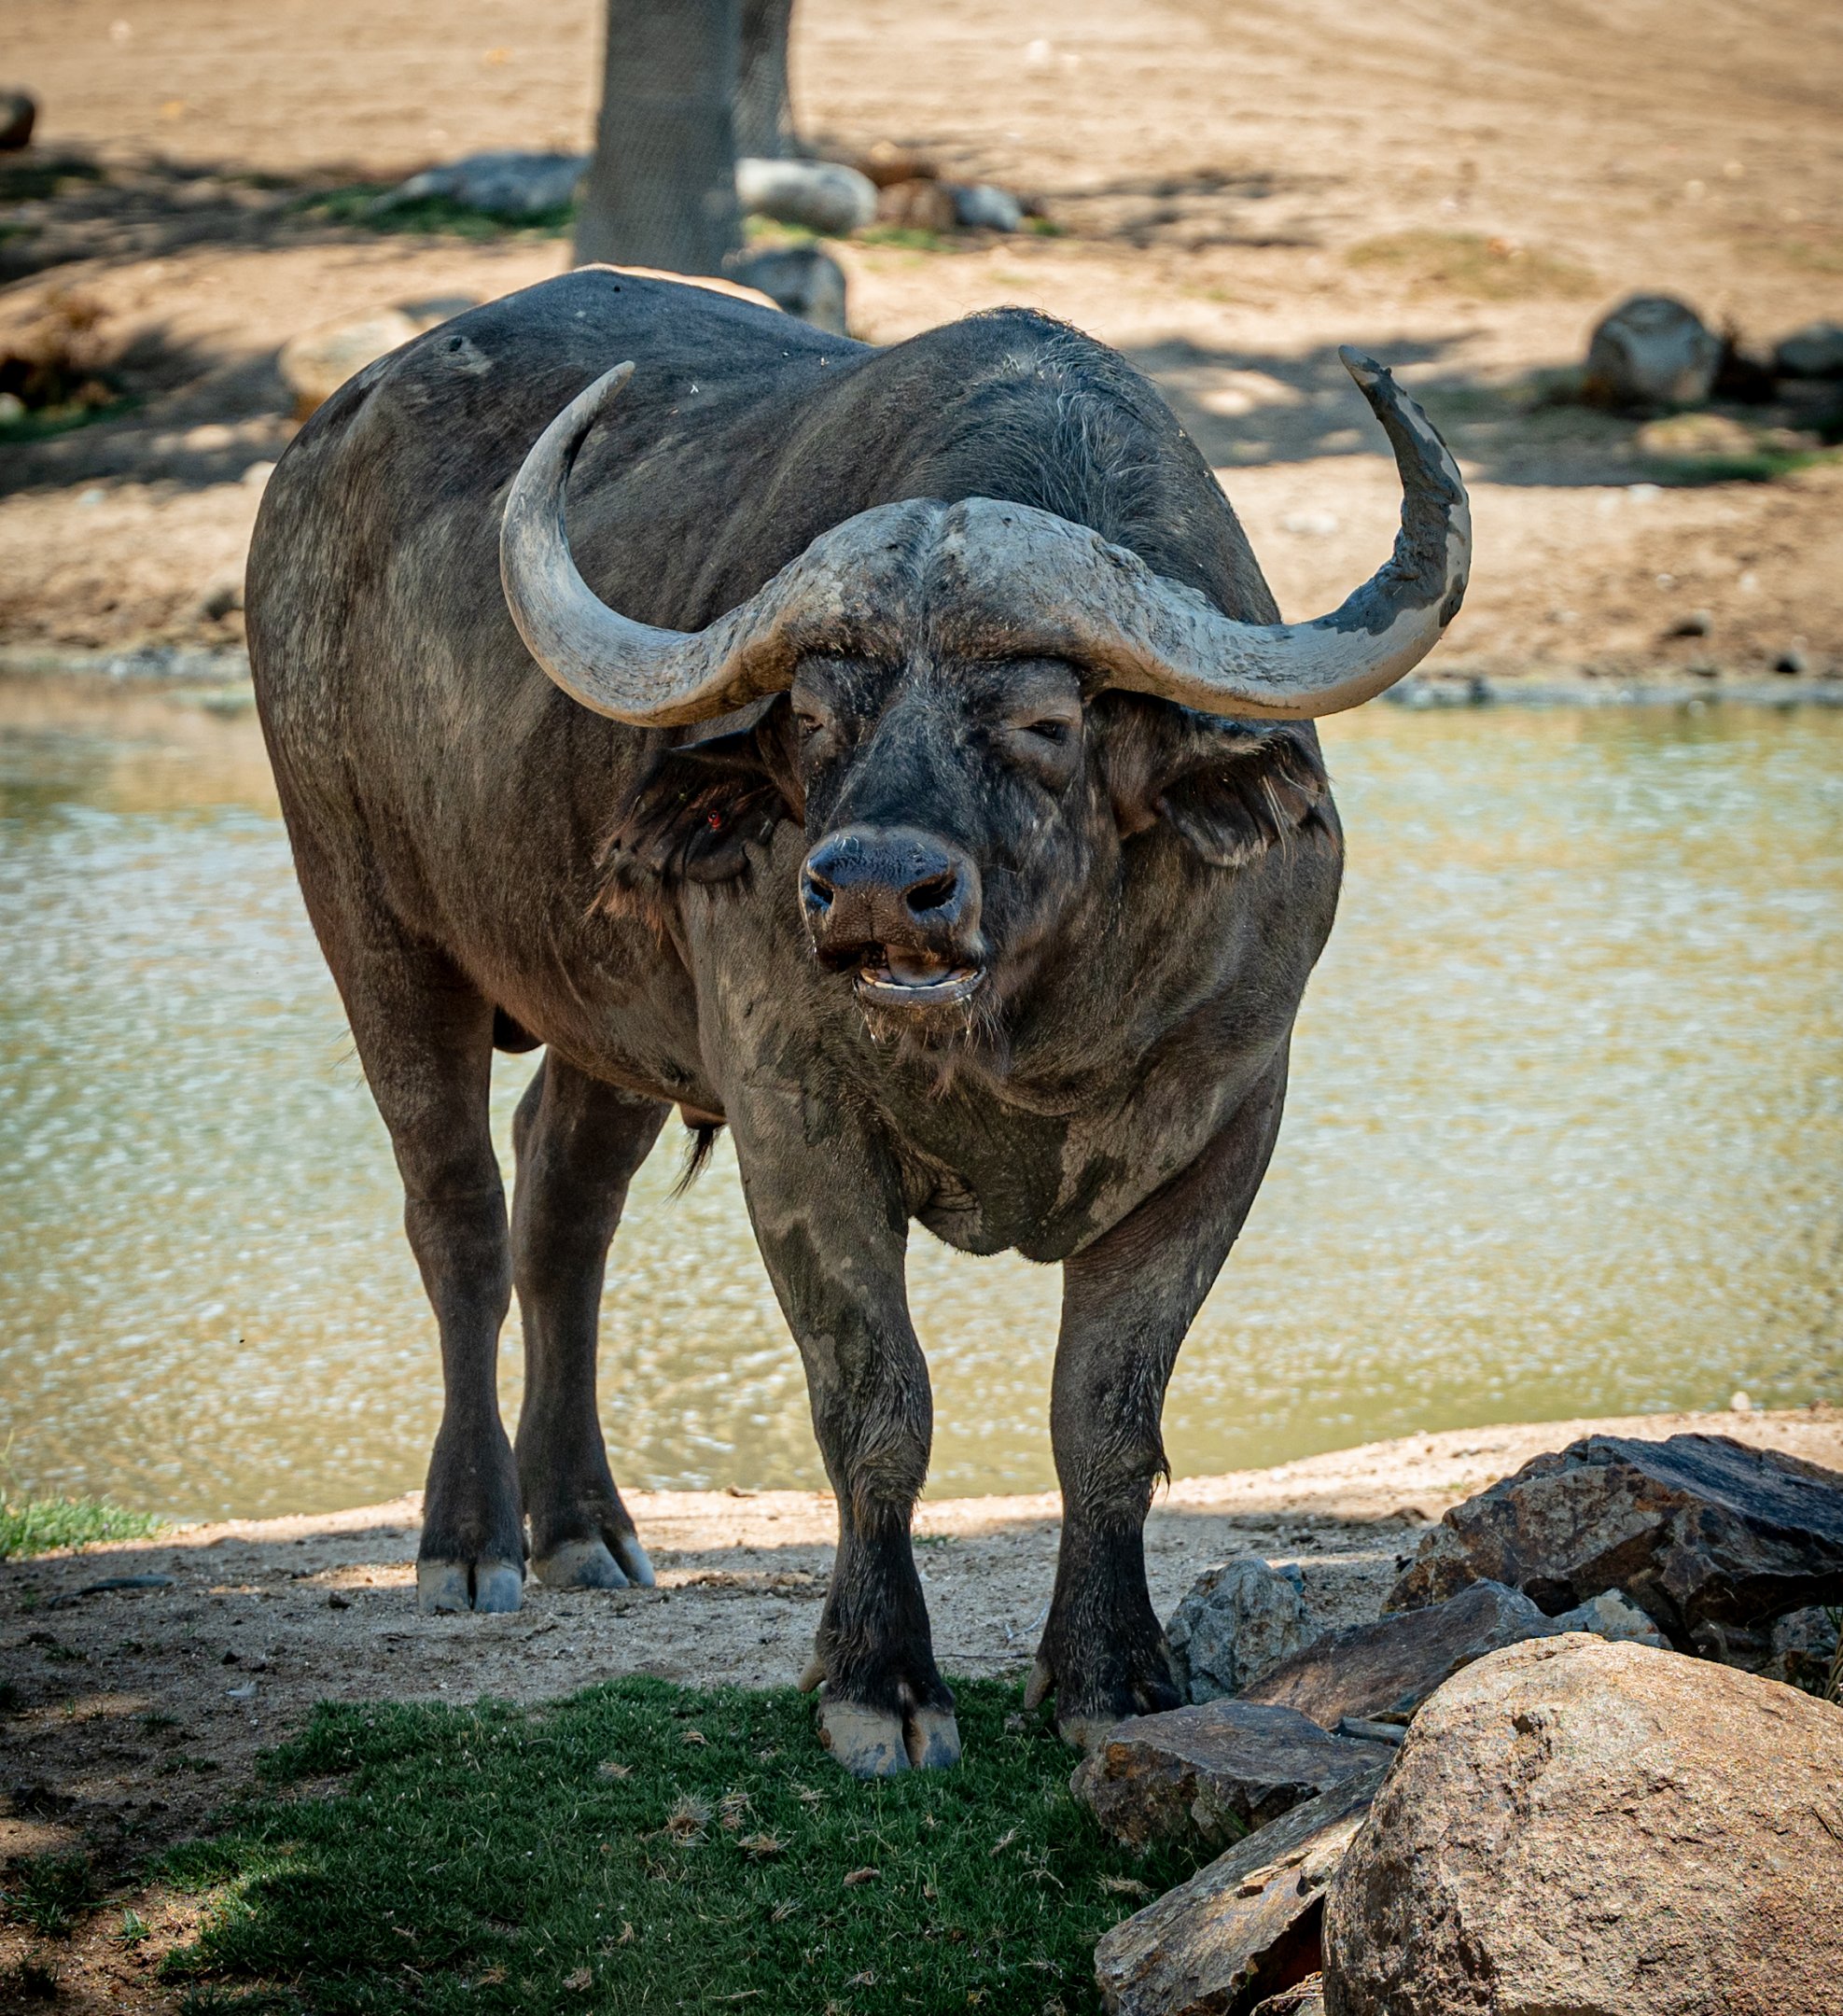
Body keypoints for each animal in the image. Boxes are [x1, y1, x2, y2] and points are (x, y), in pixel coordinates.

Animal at [246, 269, 1468, 1775]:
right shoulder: (795, 1124)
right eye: (819, 713)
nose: (877, 888)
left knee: (563, 1205)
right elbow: (876, 1410)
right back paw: (471, 1540)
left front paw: (1111, 1674)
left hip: (610, 1013)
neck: (1019, 1025)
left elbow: (1105, 1419)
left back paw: (584, 1526)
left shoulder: (1227, 1122)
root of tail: (325, 444)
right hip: (364, 913)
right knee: (458, 1212)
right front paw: (878, 1680)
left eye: (1046, 719)